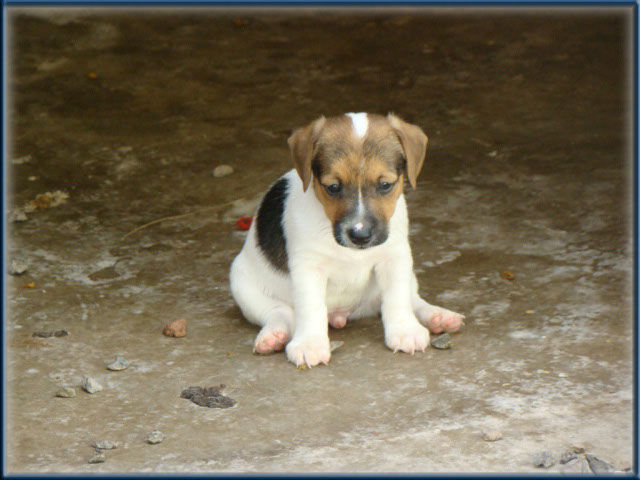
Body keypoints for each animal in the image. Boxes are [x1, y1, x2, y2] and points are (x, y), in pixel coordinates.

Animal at [230, 113, 464, 368]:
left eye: (385, 185)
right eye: (333, 187)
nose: (360, 236)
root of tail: (343, 313)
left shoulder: (395, 257)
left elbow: (397, 297)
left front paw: (405, 331)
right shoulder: (308, 267)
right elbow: (310, 307)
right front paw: (310, 344)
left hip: (407, 276)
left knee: (413, 298)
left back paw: (438, 317)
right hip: (243, 286)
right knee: (279, 313)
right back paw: (273, 336)